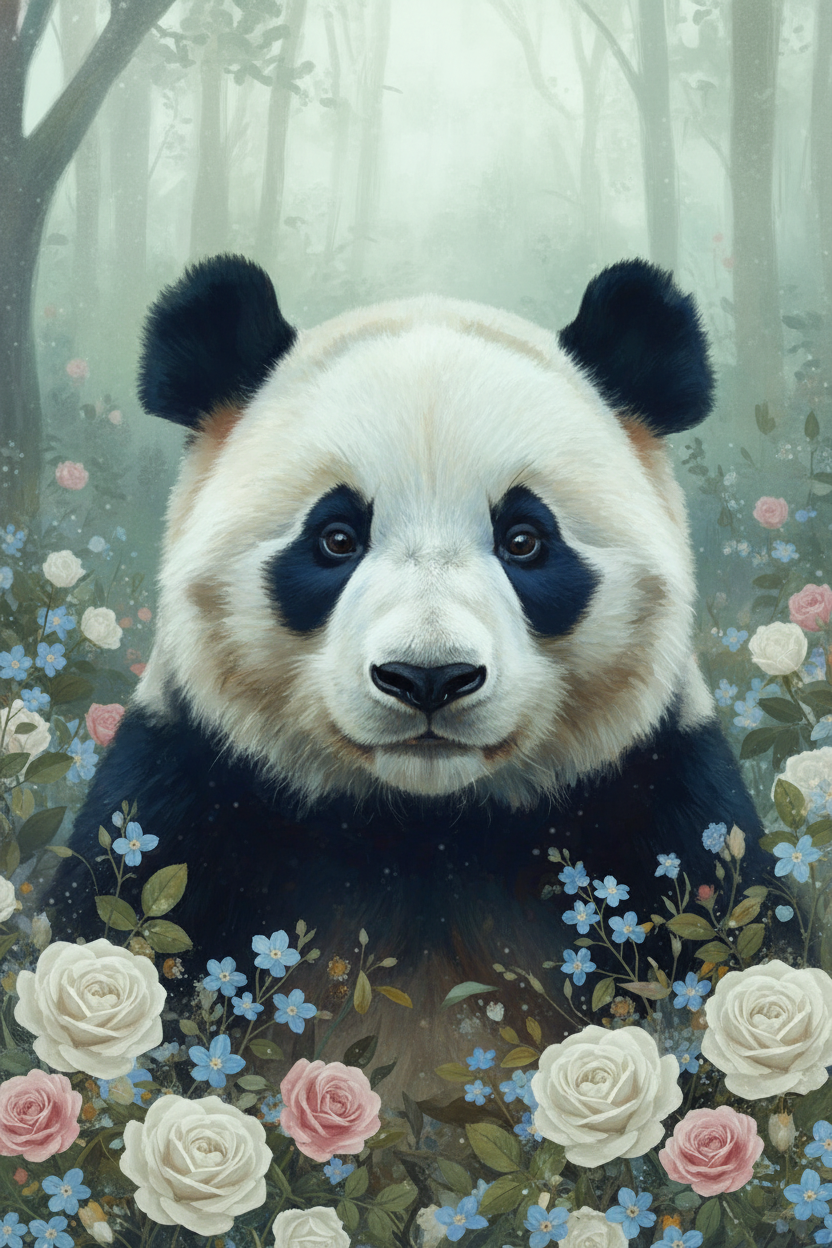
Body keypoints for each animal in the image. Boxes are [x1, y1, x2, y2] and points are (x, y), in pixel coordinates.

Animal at [56, 255, 763, 1018]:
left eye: (524, 539)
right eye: (336, 537)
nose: (429, 677)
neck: (422, 832)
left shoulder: (666, 810)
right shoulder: (181, 805)